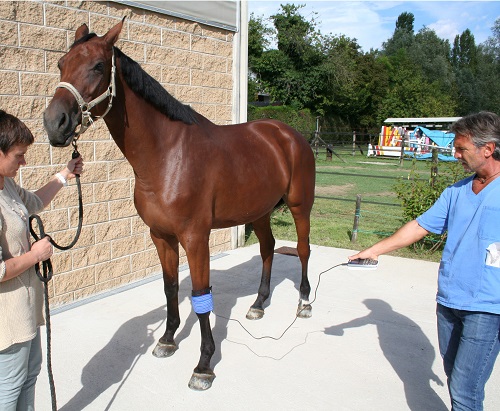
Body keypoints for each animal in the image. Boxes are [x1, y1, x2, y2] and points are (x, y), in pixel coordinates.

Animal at [45, 19, 314, 392]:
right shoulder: (161, 236)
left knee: (302, 250)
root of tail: (288, 134)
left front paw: (204, 365)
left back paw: (303, 303)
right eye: (61, 64)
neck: (167, 156)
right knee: (268, 248)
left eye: (98, 66)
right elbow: (170, 287)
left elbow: (201, 296)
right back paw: (259, 304)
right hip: (259, 212)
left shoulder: (195, 239)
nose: (54, 123)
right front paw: (168, 339)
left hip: (301, 206)